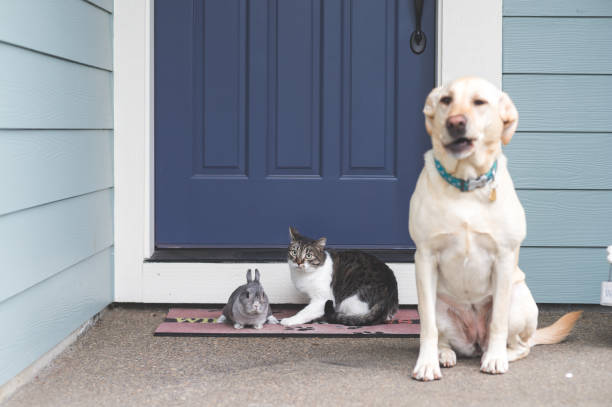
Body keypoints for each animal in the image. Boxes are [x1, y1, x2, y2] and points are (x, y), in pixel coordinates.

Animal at [409, 77, 581, 381]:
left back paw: (495, 354)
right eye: (446, 100)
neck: (465, 184)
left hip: (519, 299)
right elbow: (428, 328)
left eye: (479, 102)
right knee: (443, 337)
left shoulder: (503, 257)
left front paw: (496, 360)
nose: (455, 122)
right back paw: (444, 355)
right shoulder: (425, 257)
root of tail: (475, 341)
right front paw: (427, 364)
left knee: (521, 345)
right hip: (438, 307)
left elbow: (498, 322)